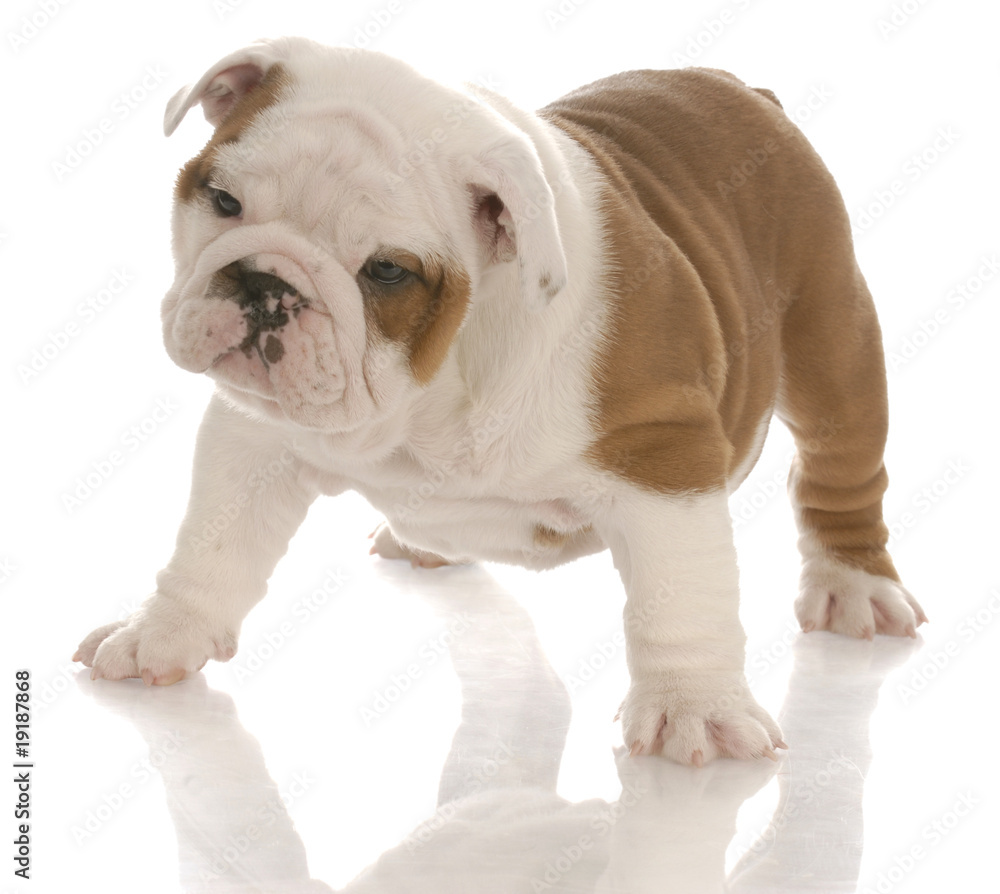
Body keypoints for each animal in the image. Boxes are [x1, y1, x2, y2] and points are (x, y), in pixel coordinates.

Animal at [74, 38, 924, 768]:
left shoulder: (662, 457)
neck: (430, 385)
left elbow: (681, 595)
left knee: (841, 469)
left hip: (829, 340)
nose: (263, 283)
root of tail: (747, 92)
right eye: (222, 199)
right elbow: (212, 545)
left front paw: (696, 710)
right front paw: (161, 633)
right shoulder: (255, 436)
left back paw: (855, 585)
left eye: (387, 271)